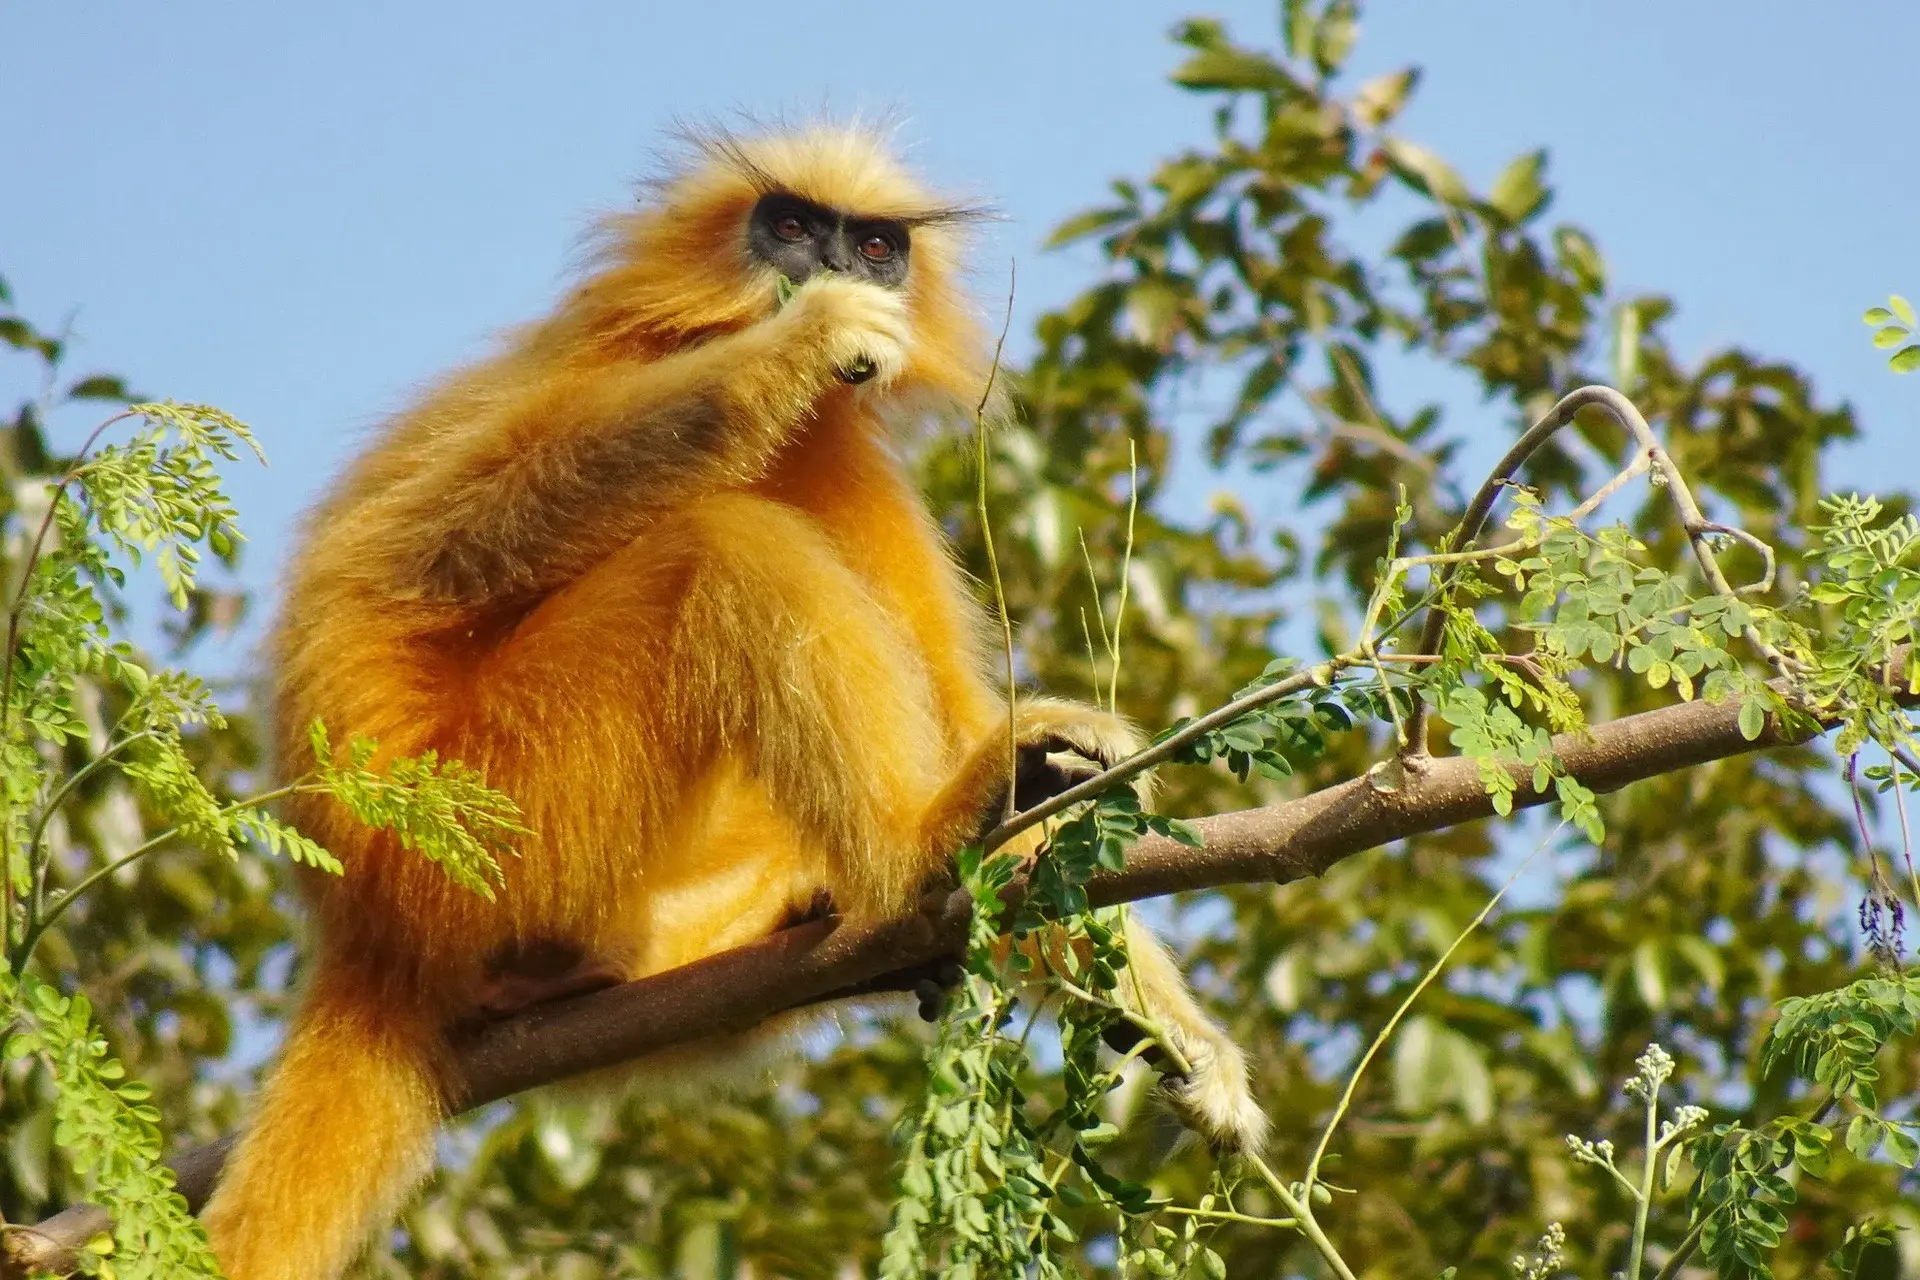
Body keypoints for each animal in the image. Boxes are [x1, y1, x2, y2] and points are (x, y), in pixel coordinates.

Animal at [200, 125, 1268, 1280]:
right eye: (791, 226)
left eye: (877, 245)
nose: (835, 270)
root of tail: (363, 929)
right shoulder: (608, 363)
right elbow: (422, 556)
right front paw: (810, 337)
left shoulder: (841, 451)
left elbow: (955, 714)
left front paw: (1184, 1036)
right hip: (480, 820)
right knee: (721, 543)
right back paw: (923, 844)